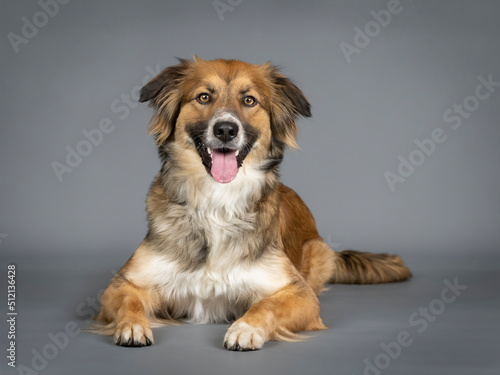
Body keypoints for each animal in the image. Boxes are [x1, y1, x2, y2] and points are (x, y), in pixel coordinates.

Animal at [93, 56, 410, 352]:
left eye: (249, 100)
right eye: (204, 97)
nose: (225, 130)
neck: (218, 200)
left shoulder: (299, 293)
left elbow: (266, 304)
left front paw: (245, 328)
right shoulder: (122, 283)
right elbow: (129, 302)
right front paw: (133, 326)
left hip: (318, 252)